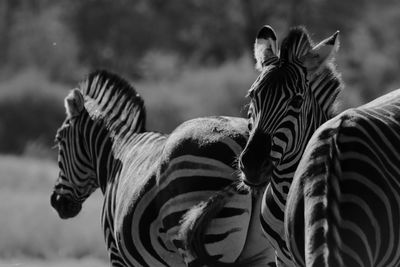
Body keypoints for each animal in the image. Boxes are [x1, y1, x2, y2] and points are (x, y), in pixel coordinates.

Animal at [50, 70, 276, 266]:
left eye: (59, 140)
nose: (56, 202)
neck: (116, 152)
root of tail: (244, 140)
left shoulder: (116, 253)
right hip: (260, 250)